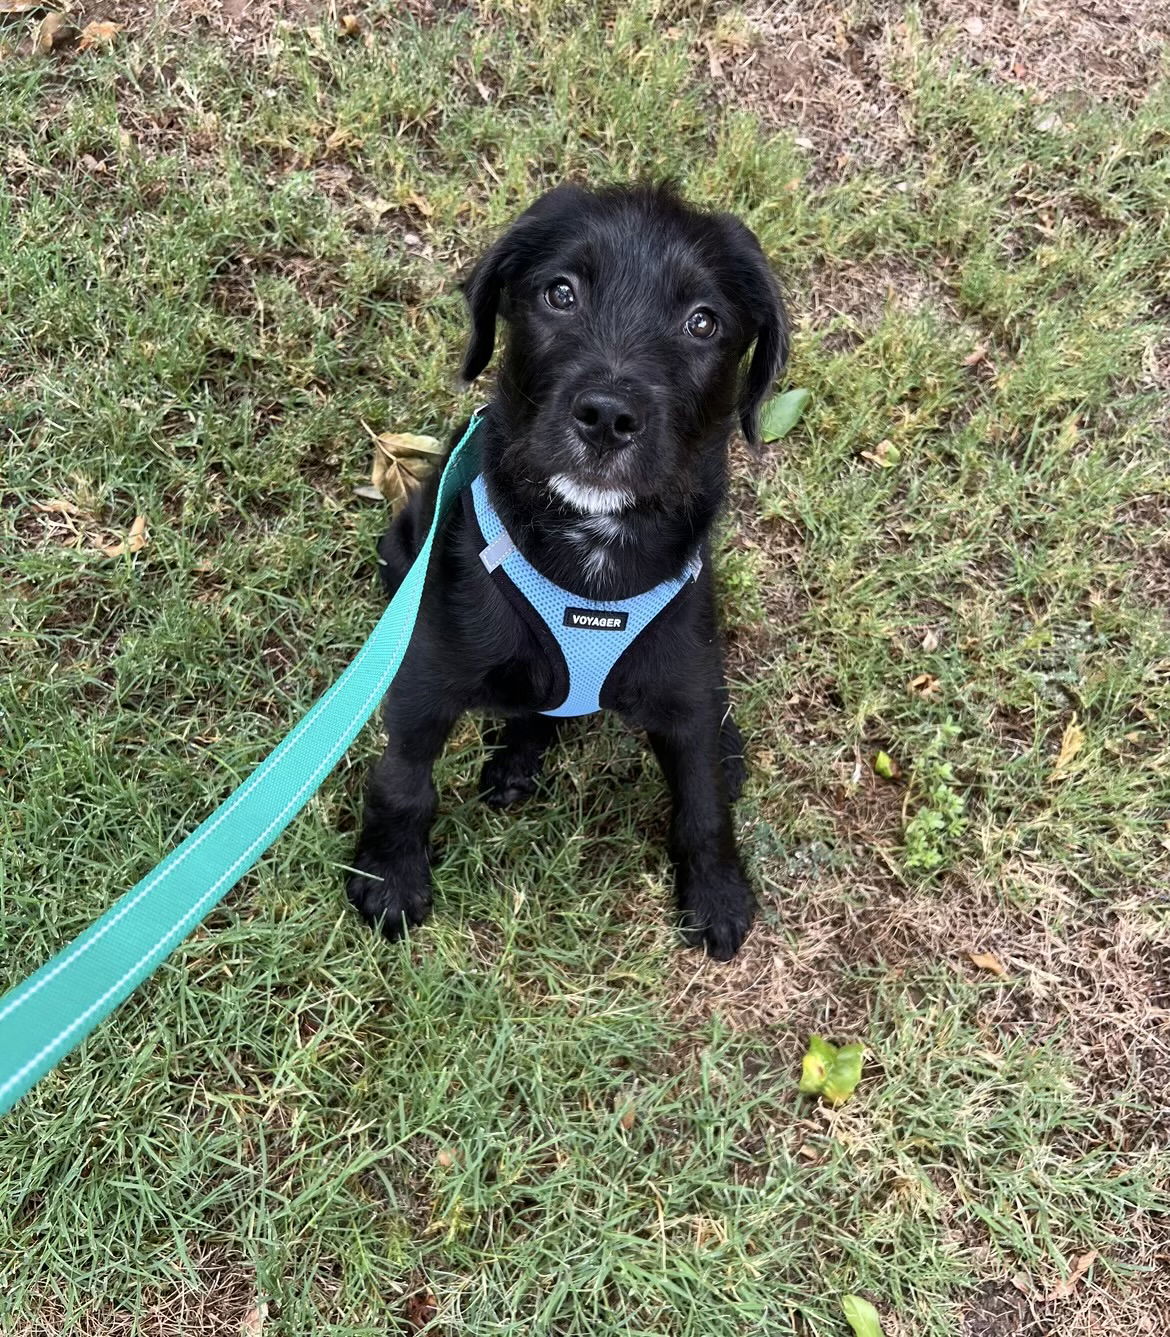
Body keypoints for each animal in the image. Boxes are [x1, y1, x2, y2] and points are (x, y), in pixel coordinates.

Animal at [347, 185, 786, 962]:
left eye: (703, 322)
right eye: (560, 293)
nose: (608, 416)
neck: (593, 552)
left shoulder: (683, 680)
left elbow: (701, 802)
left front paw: (717, 893)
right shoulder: (426, 676)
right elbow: (404, 779)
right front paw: (390, 875)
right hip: (401, 552)